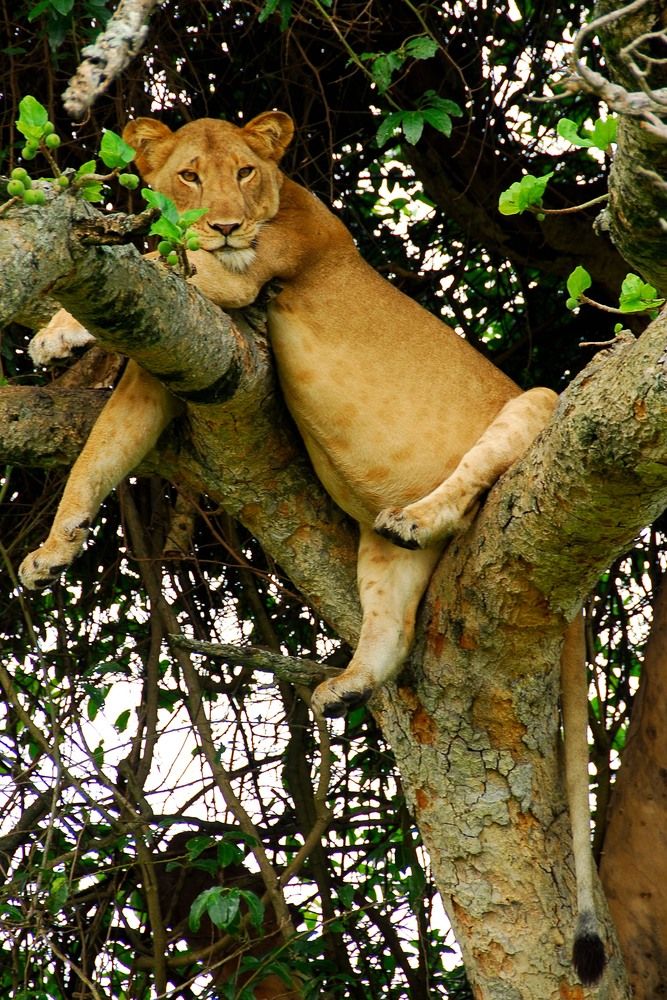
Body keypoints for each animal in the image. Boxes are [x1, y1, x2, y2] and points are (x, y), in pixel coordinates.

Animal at [19, 111, 604, 985]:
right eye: (189, 174)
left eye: (245, 172)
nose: (228, 223)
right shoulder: (171, 361)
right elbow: (100, 454)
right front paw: (55, 548)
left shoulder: (239, 281)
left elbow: (159, 258)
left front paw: (56, 334)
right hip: (377, 560)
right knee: (390, 631)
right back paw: (344, 683)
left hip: (532, 403)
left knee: (483, 468)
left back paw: (422, 514)